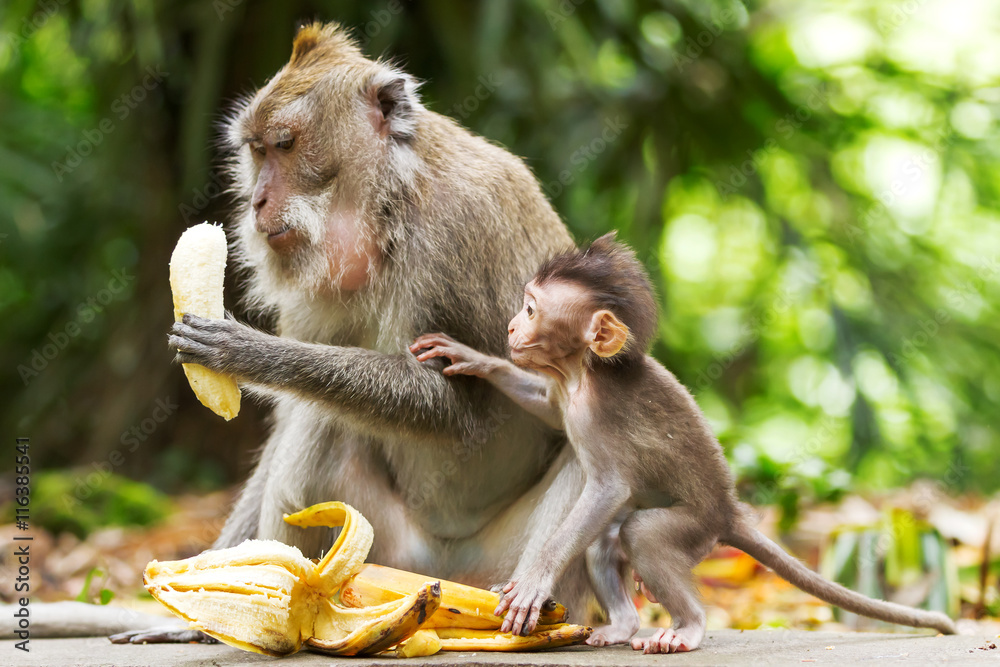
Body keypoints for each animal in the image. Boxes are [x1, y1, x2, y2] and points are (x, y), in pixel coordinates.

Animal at [112, 23, 604, 644]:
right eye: (256, 151)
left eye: (286, 145)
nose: (256, 201)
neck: (390, 208)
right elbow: (291, 420)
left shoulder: (460, 231)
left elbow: (460, 406)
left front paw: (252, 354)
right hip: (391, 558)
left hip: (496, 569)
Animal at [410, 234, 956, 652]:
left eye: (529, 308)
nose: (510, 326)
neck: (583, 373)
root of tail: (729, 511)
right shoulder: (563, 394)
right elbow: (545, 405)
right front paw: (474, 359)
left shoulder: (597, 417)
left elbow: (607, 489)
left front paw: (532, 581)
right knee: (604, 542)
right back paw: (624, 625)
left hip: (694, 529)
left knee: (644, 535)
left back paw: (688, 628)